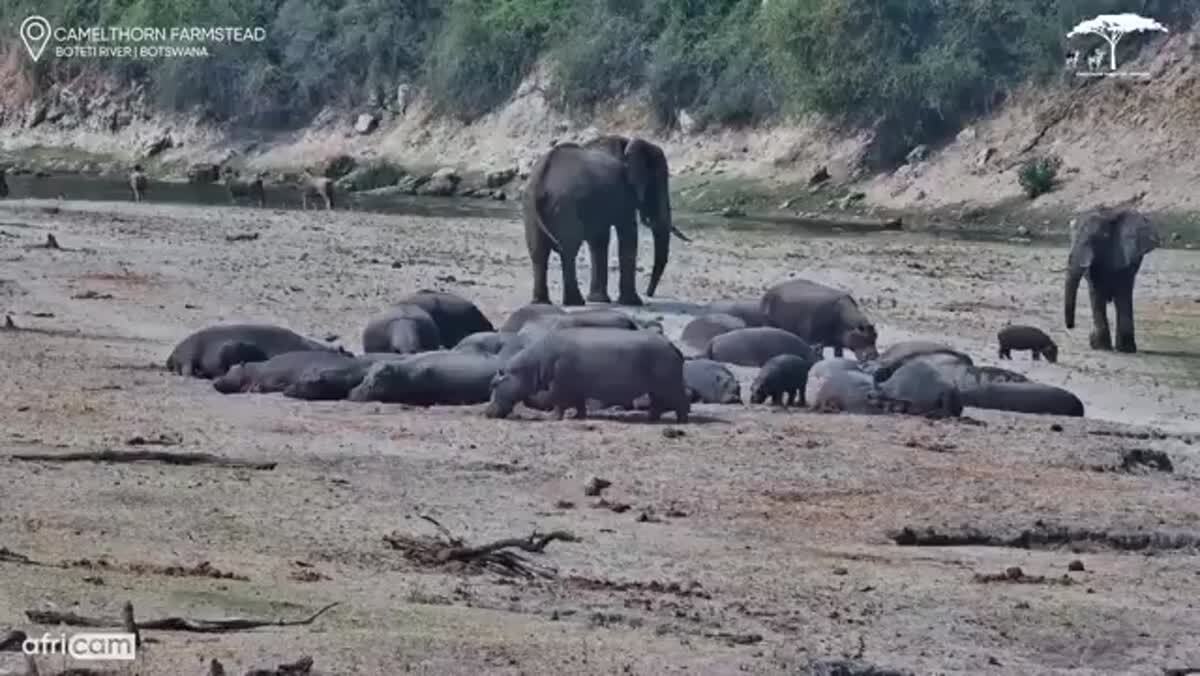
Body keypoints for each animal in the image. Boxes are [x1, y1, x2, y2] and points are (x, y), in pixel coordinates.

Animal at [486, 327, 690, 422]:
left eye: (494, 383)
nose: (486, 411)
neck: (531, 366)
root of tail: (672, 345)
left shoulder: (559, 385)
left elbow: (558, 402)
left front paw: (553, 418)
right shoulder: (577, 388)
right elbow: (579, 404)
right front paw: (578, 417)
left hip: (668, 385)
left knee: (681, 401)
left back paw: (681, 421)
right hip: (656, 388)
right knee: (658, 403)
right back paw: (651, 418)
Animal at [522, 139, 689, 307]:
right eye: (656, 182)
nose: (648, 293)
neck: (627, 144)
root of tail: (540, 179)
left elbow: (599, 240)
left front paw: (599, 300)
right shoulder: (624, 192)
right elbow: (628, 235)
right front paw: (633, 302)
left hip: (531, 208)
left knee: (538, 252)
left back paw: (541, 302)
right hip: (564, 206)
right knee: (568, 249)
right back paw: (575, 302)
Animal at [1064, 207, 1159, 353]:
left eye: (1095, 239)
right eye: (1071, 239)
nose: (1071, 327)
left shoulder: (1126, 260)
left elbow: (1123, 294)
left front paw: (1122, 349)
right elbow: (1096, 293)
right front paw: (1101, 346)